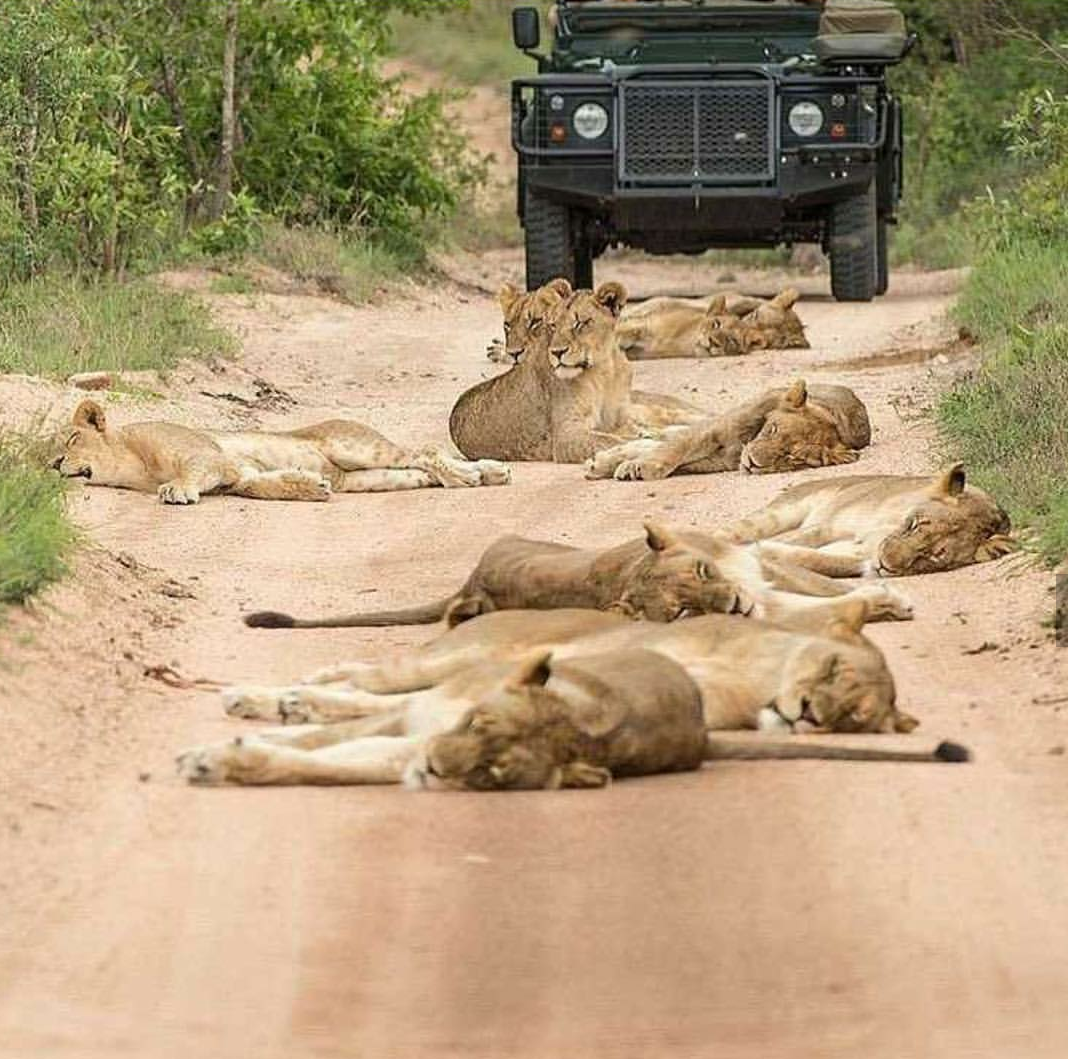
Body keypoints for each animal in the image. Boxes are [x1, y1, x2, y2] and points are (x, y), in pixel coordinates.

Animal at [589, 377, 871, 482]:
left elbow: (671, 454)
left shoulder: (713, 462)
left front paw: (627, 464)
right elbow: (673, 449)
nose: (754, 463)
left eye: (791, 457)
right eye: (773, 430)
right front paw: (641, 467)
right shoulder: (711, 431)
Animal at [721, 465, 1012, 576]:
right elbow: (801, 539)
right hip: (778, 513)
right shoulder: (828, 526)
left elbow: (817, 560)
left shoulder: (859, 557)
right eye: (915, 525)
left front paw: (763, 553)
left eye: (932, 556)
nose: (885, 564)